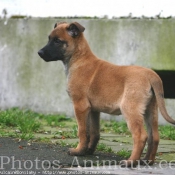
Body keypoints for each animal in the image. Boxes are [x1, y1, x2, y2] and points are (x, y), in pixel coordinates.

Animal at [38, 21, 175, 167]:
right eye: (49, 39)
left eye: (57, 41)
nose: (39, 52)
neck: (79, 58)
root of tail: (151, 74)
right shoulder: (93, 110)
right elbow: (94, 132)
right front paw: (88, 150)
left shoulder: (80, 106)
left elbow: (82, 131)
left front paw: (78, 151)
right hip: (151, 111)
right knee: (154, 136)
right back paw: (147, 161)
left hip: (130, 109)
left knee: (141, 136)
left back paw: (131, 161)